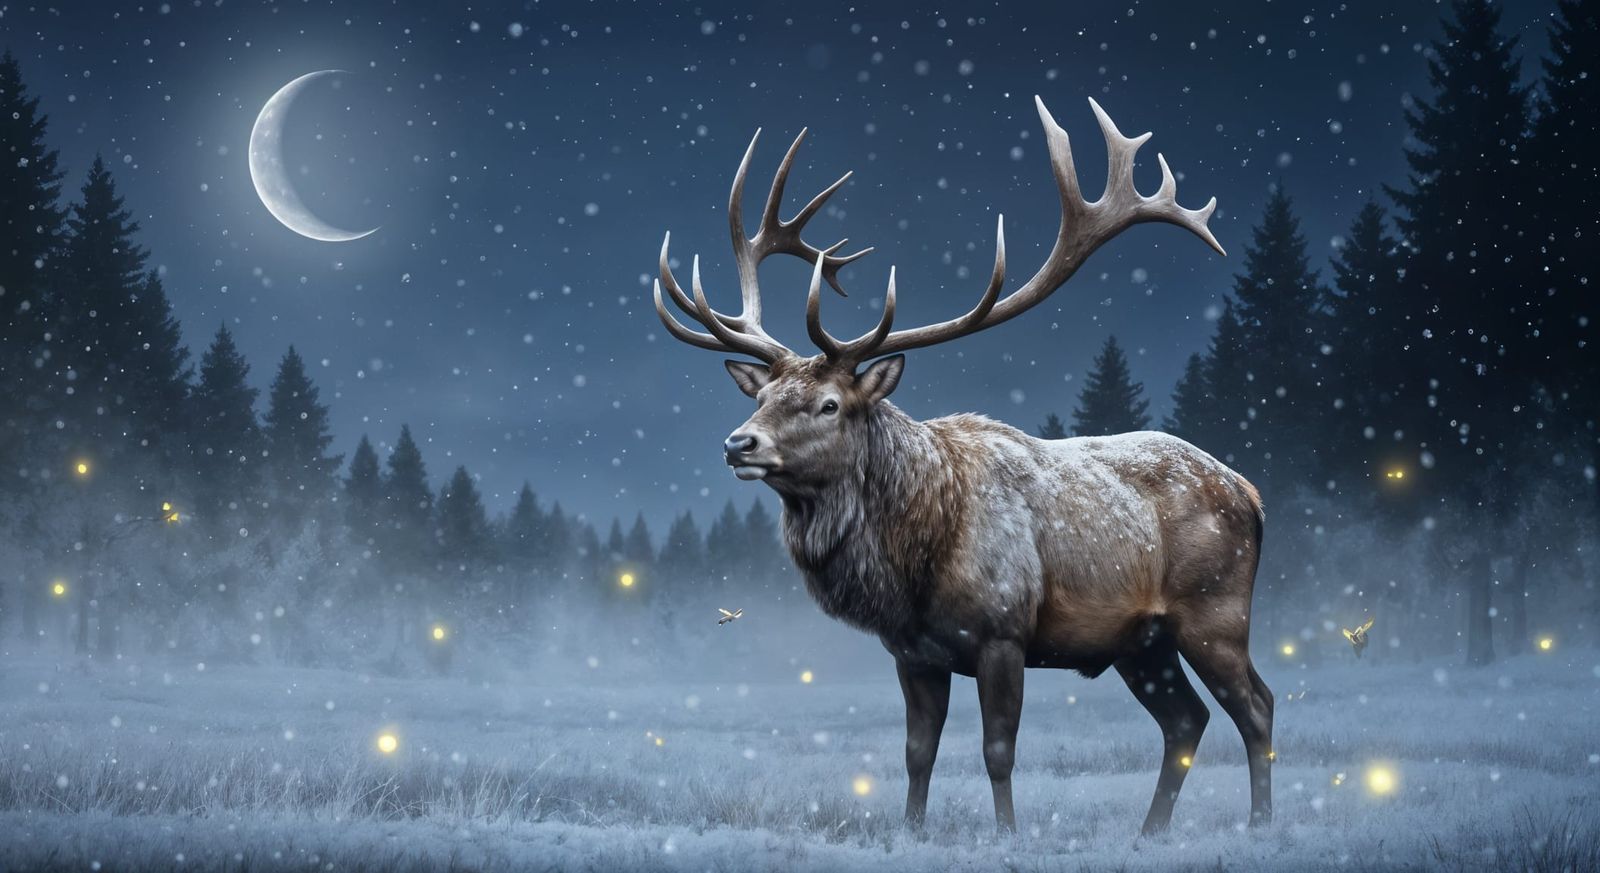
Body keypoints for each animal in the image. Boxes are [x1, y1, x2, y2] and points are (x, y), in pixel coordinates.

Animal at [652, 96, 1272, 835]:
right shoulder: (912, 652)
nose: (739, 444)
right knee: (1186, 718)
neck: (914, 561)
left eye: (830, 403)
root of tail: (1252, 492)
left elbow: (998, 750)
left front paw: (1006, 834)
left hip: (1214, 611)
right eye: (763, 397)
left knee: (1255, 706)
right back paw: (1151, 833)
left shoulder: (1004, 632)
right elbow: (917, 752)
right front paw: (912, 831)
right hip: (1140, 642)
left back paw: (1263, 823)